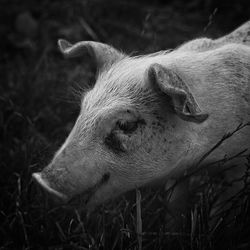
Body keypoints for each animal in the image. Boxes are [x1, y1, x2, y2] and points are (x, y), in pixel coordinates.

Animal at [32, 20, 249, 210]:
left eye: (126, 125)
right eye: (84, 107)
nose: (43, 182)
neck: (201, 160)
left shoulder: (239, 168)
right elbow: (174, 204)